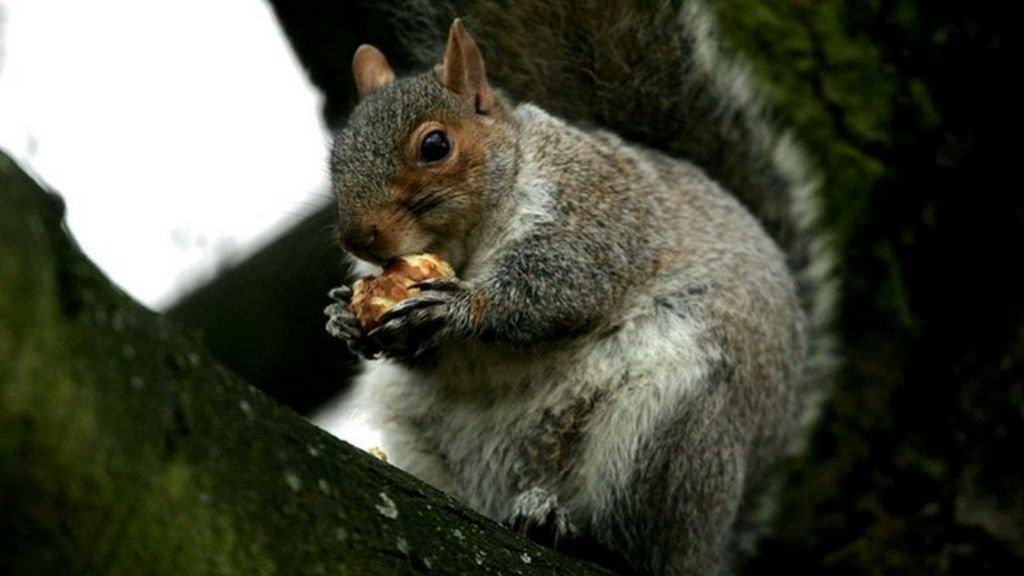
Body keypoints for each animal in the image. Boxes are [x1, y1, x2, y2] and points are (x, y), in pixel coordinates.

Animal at [323, 2, 835, 569]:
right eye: (336, 156)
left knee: (637, 544)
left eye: (435, 145)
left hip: (668, 437)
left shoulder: (595, 211)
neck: (468, 242)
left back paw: (563, 526)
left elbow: (560, 287)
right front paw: (344, 318)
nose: (358, 237)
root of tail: (714, 543)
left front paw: (456, 308)